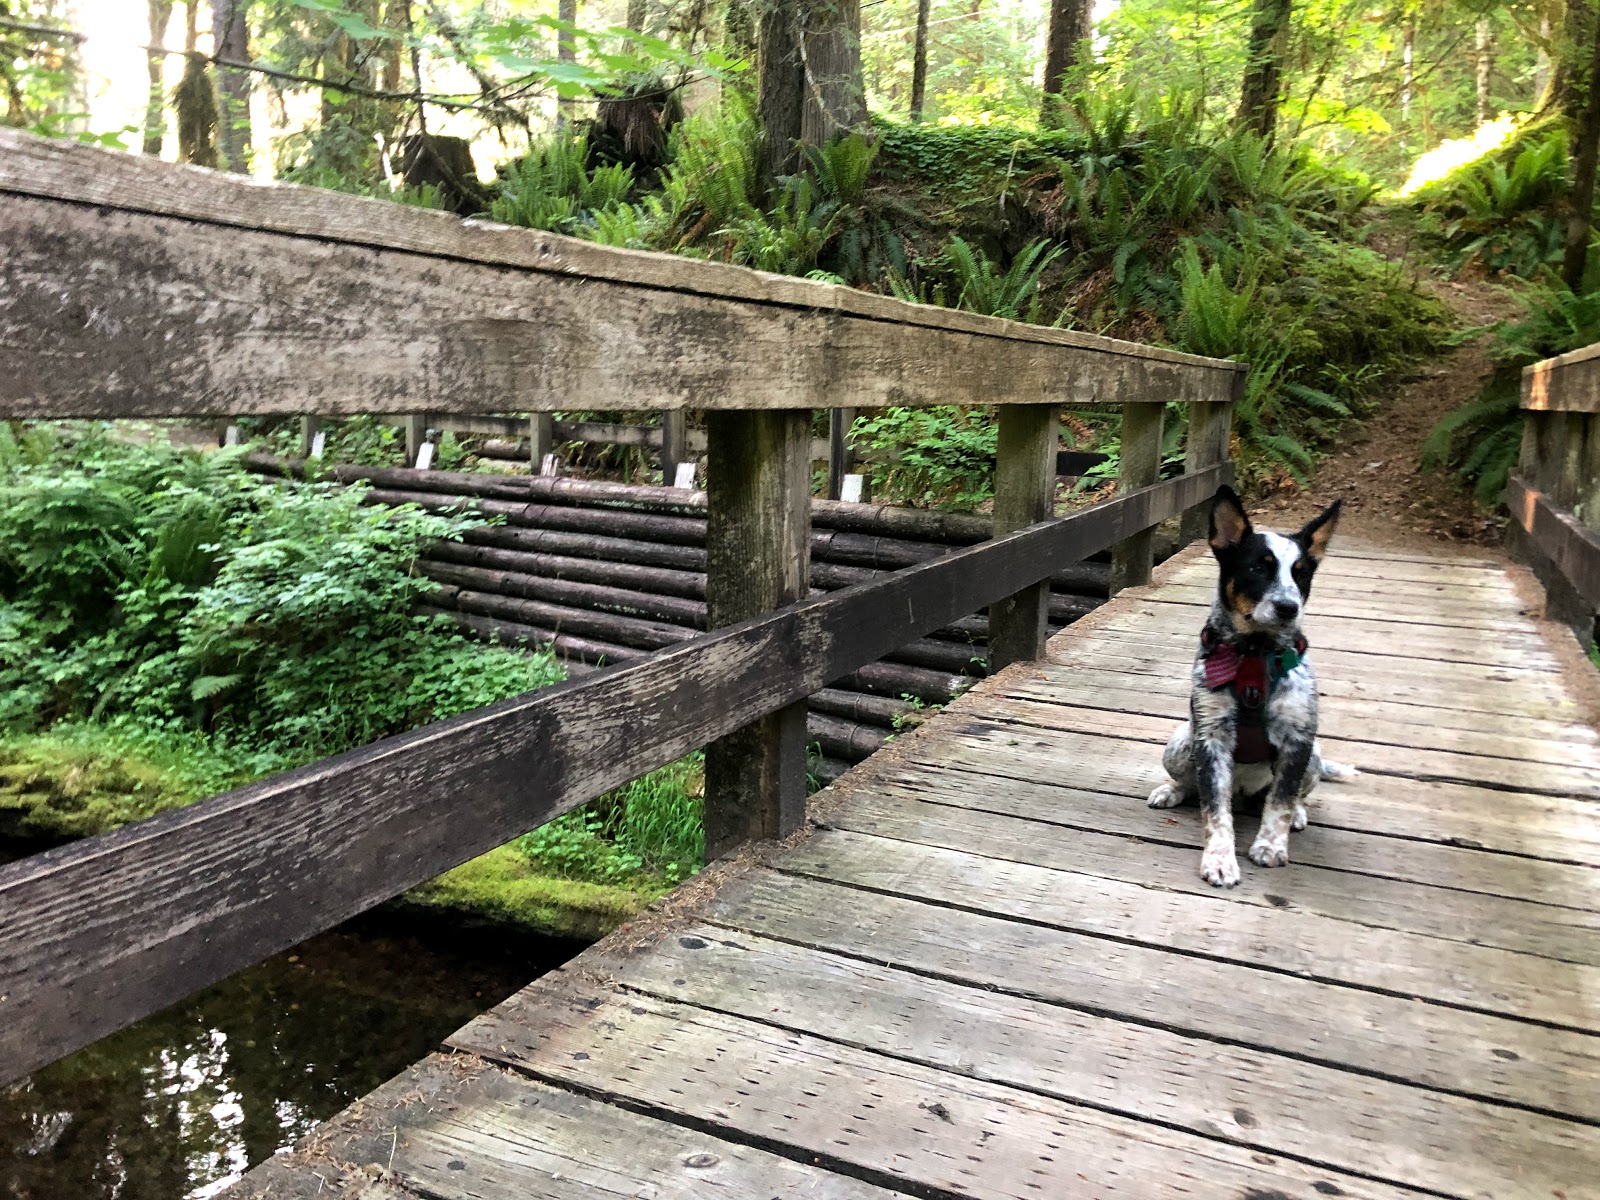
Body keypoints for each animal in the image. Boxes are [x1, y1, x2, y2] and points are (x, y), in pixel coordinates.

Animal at [1145, 483, 1356, 889]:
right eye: (1259, 567)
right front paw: (1219, 860)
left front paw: (1271, 846)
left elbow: (1281, 802)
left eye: (1301, 574)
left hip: (1313, 756)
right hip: (1180, 743)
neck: (1256, 654)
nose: (1288, 607)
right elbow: (1214, 810)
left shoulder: (1297, 738)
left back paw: (1299, 814)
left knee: (1289, 796)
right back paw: (1172, 790)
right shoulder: (1210, 736)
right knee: (1194, 786)